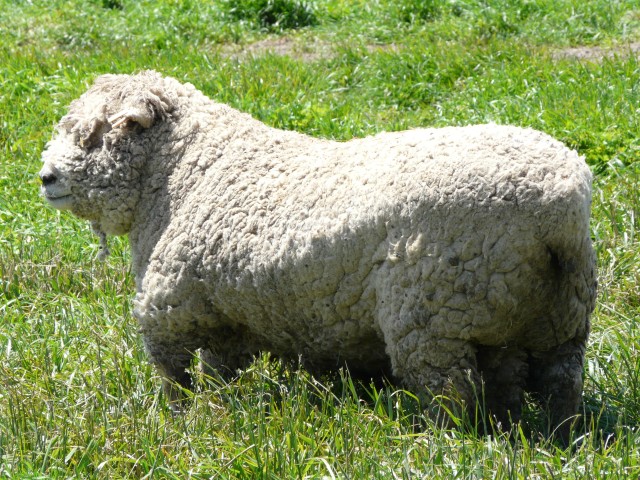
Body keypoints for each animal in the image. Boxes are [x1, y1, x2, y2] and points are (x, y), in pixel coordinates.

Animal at [40, 70, 597, 437]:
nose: (46, 178)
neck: (188, 170)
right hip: (555, 314)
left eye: (93, 135)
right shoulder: (229, 311)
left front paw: (177, 421)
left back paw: (441, 441)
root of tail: (559, 207)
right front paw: (222, 410)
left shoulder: (172, 305)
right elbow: (219, 373)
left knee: (451, 392)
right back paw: (552, 436)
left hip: (431, 317)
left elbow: (176, 376)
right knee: (556, 381)